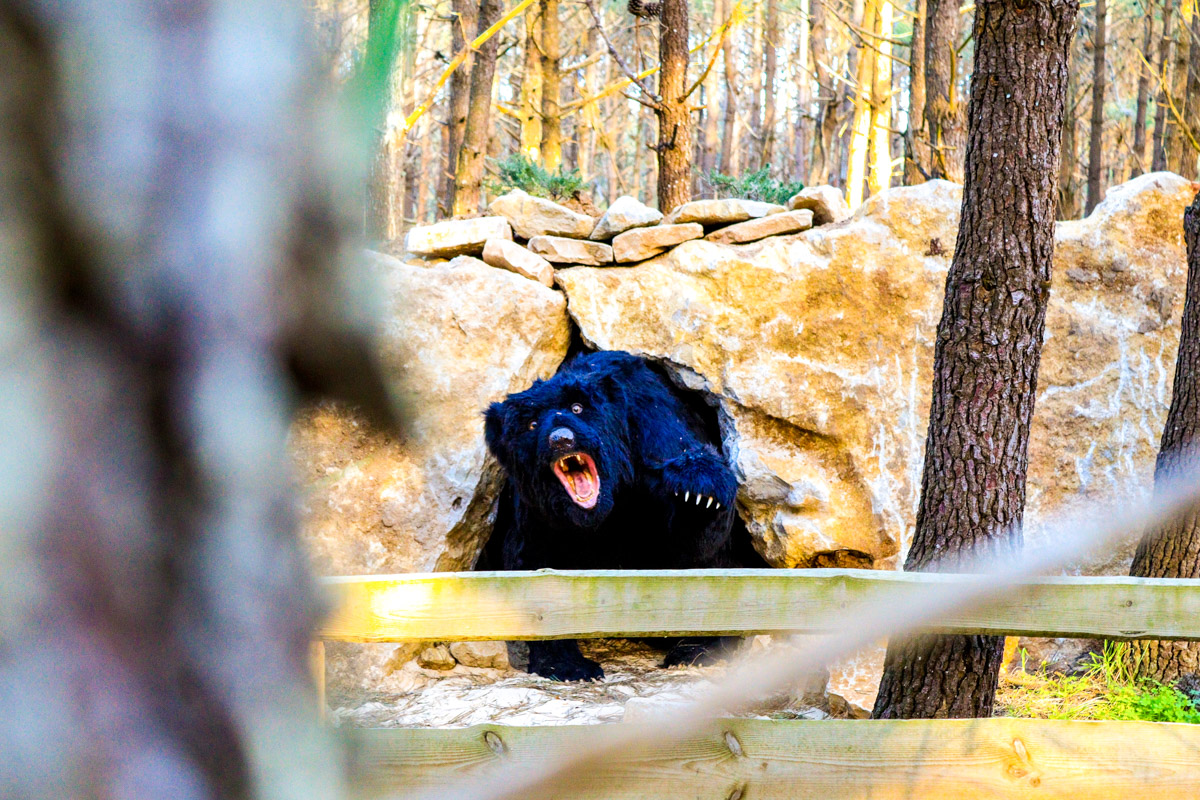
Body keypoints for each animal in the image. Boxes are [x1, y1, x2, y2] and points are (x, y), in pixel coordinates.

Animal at [482, 350, 752, 681]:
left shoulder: (653, 432)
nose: (560, 438)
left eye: (577, 408)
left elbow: (699, 550)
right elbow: (531, 566)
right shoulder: (535, 510)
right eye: (531, 424)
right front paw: (568, 665)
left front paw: (700, 494)